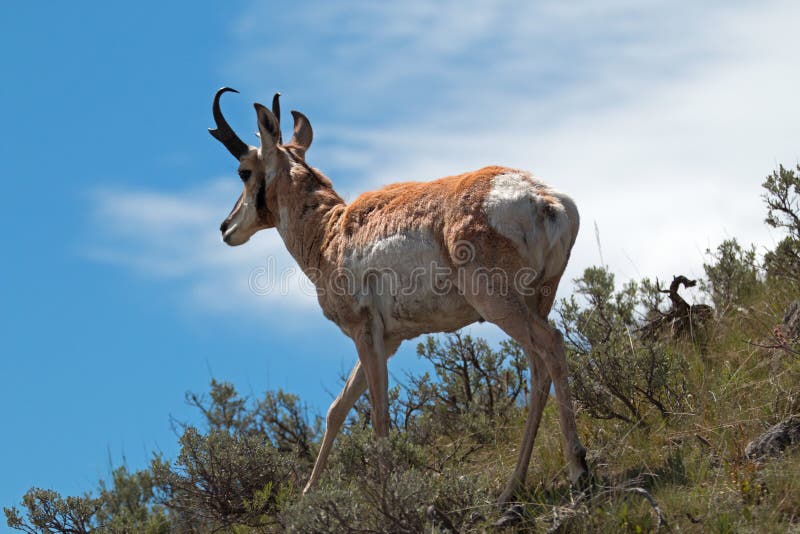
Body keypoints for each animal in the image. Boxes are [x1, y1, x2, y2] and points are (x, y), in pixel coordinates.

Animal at [211, 88, 588, 506]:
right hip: (536, 301)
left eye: (244, 171)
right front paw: (308, 495)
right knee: (538, 368)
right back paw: (512, 488)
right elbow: (337, 408)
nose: (225, 227)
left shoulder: (364, 334)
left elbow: (378, 415)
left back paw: (577, 471)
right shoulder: (388, 340)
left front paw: (386, 497)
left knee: (551, 345)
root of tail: (543, 198)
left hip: (499, 304)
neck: (331, 232)